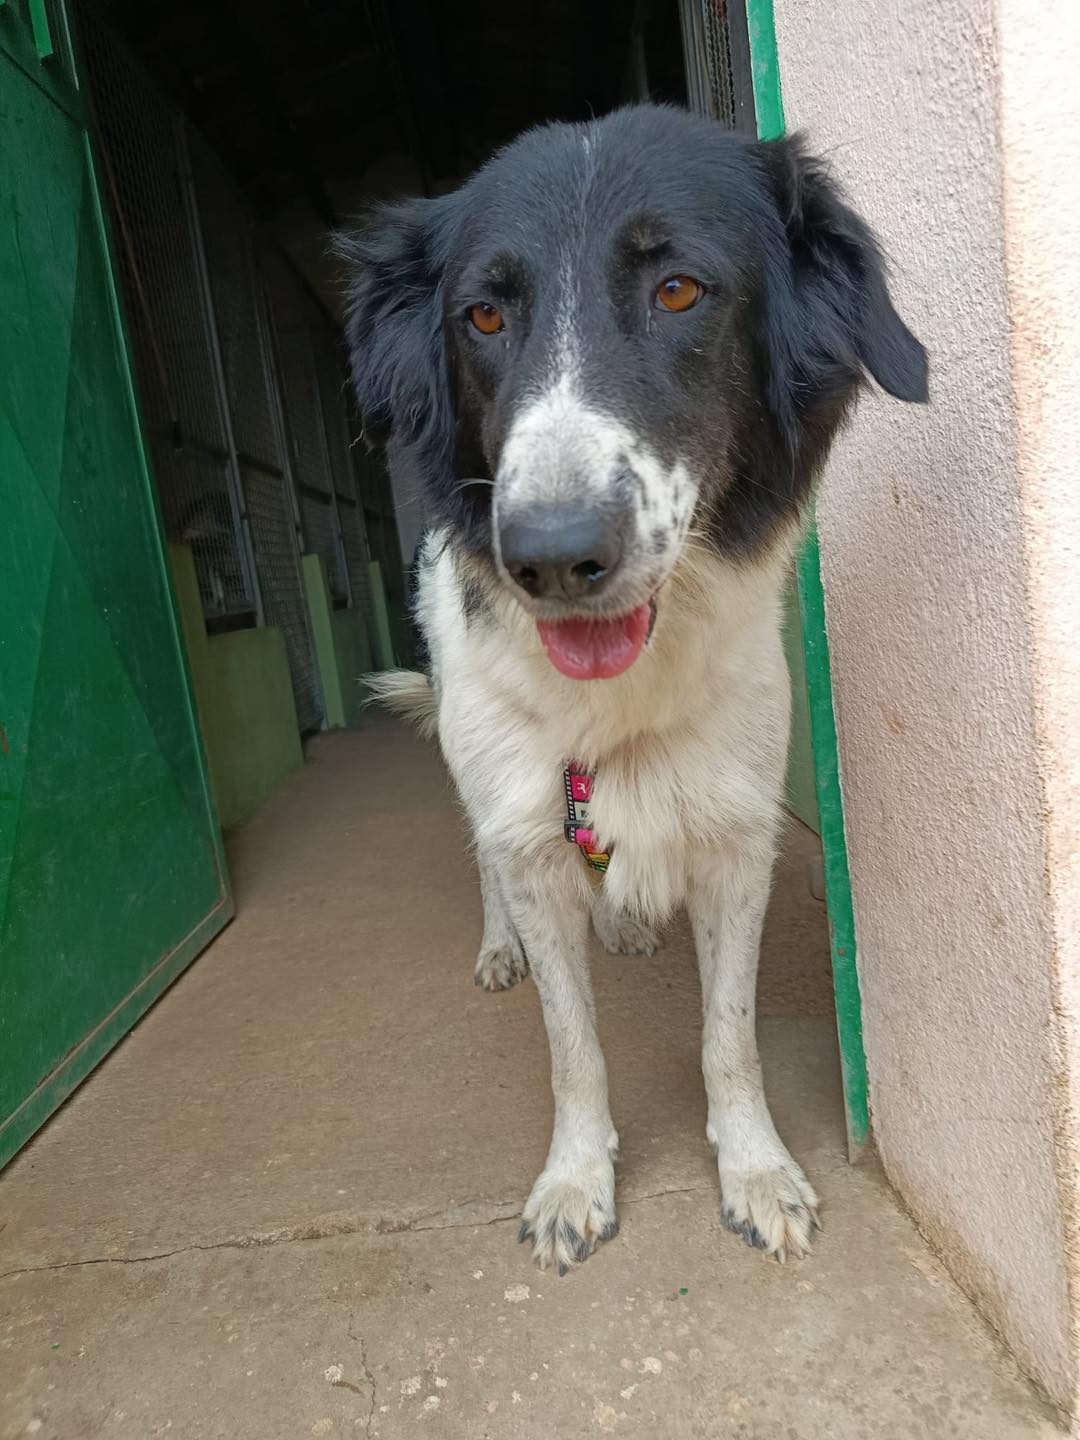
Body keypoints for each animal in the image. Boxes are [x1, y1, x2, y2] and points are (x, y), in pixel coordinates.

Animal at [340, 105, 927, 1273]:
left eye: (679, 291)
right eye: (482, 315)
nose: (550, 557)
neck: (624, 698)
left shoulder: (739, 834)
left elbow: (728, 1037)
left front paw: (755, 1169)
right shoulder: (525, 813)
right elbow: (575, 1049)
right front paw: (575, 1181)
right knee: (486, 860)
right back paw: (501, 948)